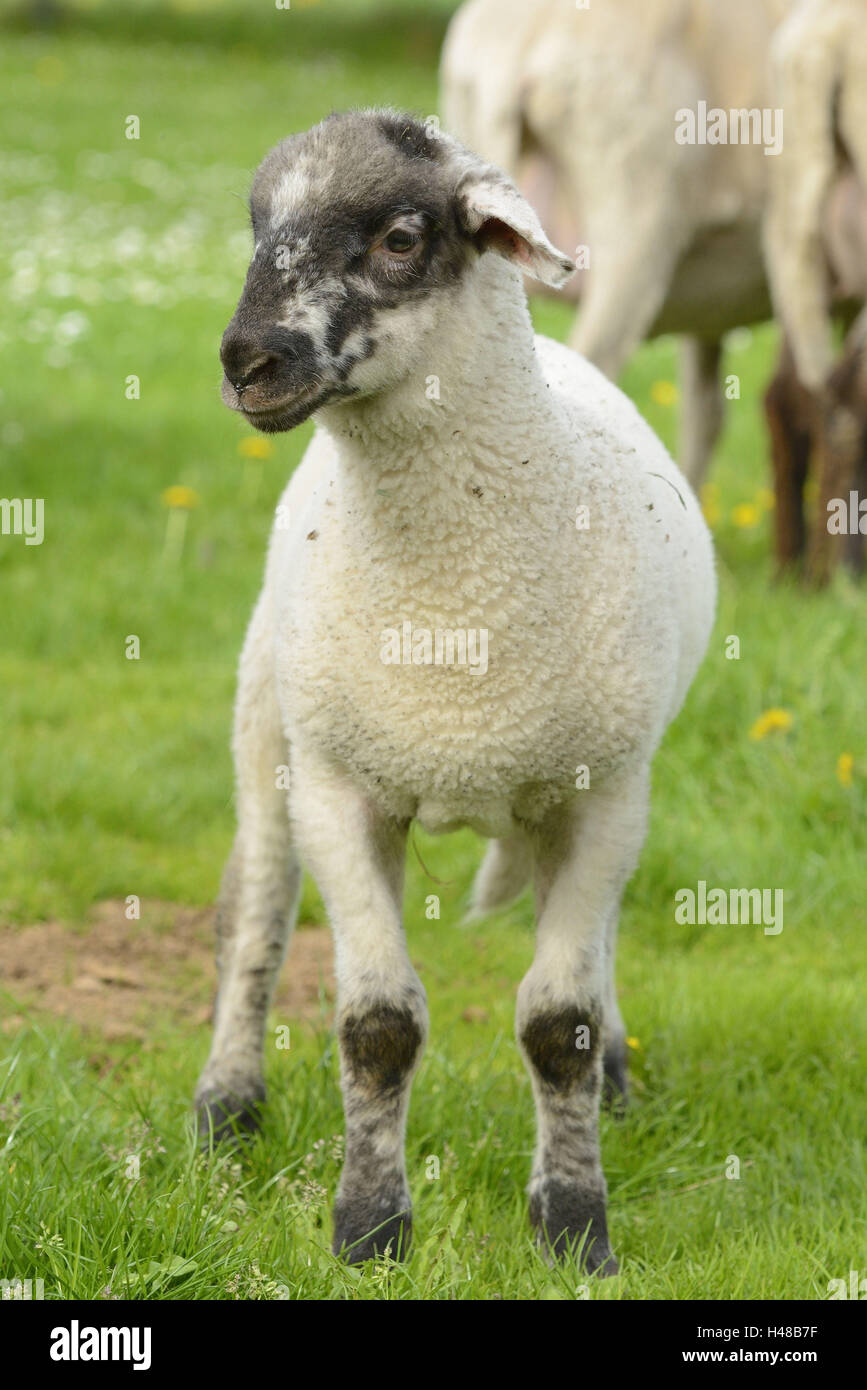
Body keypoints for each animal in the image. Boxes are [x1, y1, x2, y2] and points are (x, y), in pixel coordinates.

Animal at [195, 108, 716, 1273]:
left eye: (400, 237)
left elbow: (558, 1024)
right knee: (255, 904)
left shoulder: (603, 790)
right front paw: (368, 1227)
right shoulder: (340, 789)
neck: (455, 620)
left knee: (594, 943)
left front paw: (574, 1229)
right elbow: (377, 1025)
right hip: (267, 720)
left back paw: (618, 1073)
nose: (250, 361)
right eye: (257, 226)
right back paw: (225, 1101)